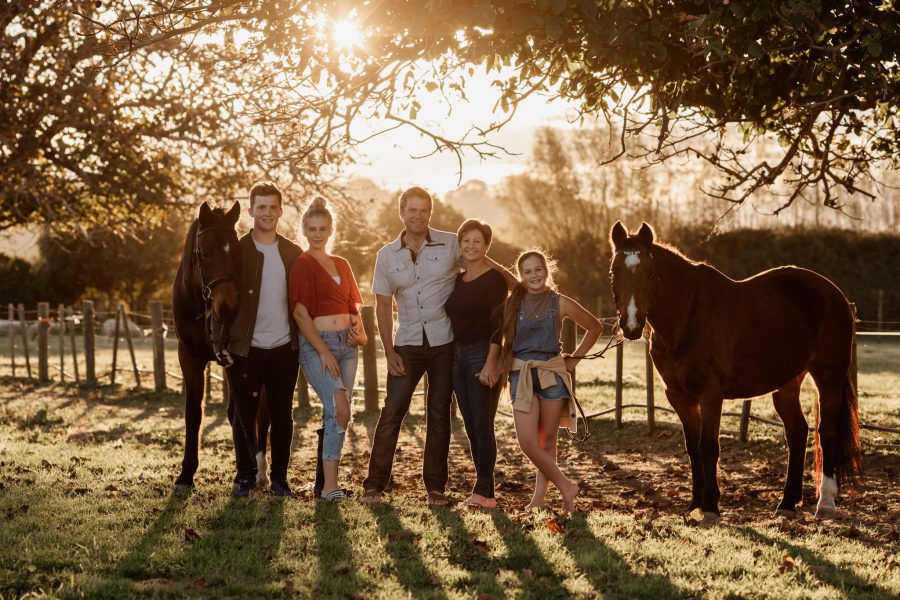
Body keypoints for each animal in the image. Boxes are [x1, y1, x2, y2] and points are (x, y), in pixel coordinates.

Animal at [171, 202, 243, 488]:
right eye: (205, 252)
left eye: (238, 250)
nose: (230, 308)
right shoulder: (189, 358)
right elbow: (193, 413)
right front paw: (186, 473)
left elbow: (237, 414)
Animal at [608, 223, 860, 524]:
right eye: (614, 271)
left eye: (650, 272)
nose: (631, 325)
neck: (687, 318)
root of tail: (836, 294)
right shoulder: (678, 396)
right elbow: (692, 448)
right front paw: (695, 503)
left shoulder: (710, 393)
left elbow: (708, 447)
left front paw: (711, 506)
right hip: (787, 384)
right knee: (797, 432)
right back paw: (787, 503)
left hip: (828, 377)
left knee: (827, 431)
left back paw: (826, 502)